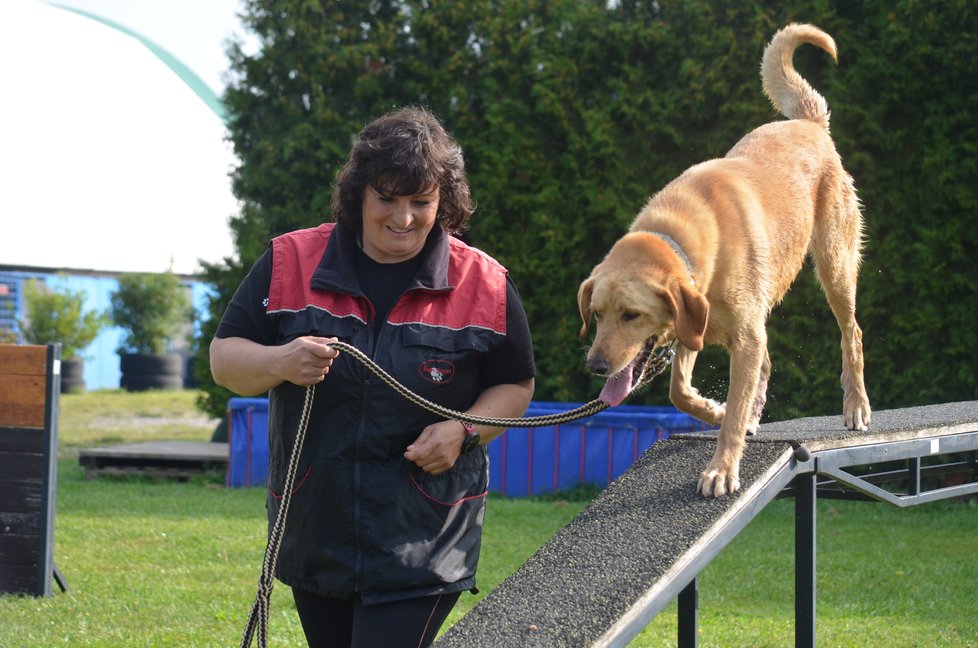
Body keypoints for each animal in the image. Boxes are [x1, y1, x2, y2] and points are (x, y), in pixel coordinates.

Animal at [572, 20, 868, 496]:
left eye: (631, 315)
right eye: (595, 314)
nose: (596, 367)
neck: (682, 238)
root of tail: (809, 123)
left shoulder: (742, 337)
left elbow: (730, 403)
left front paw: (721, 469)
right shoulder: (693, 327)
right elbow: (681, 392)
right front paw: (717, 409)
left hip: (835, 267)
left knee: (851, 334)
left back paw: (856, 407)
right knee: (766, 366)